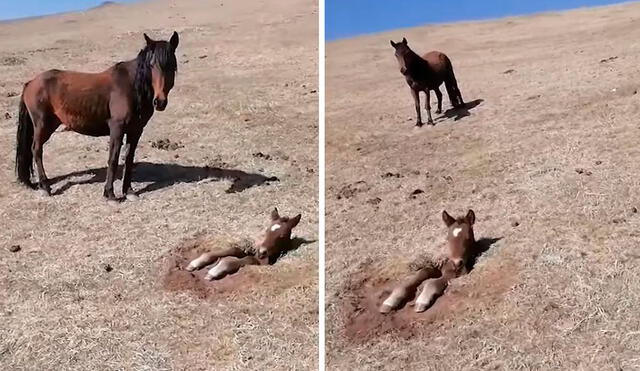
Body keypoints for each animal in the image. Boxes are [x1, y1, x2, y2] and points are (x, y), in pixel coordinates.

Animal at [15, 32, 180, 201]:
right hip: (42, 124)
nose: (160, 102)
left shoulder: (136, 130)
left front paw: (129, 191)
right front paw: (110, 194)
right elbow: (113, 159)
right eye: (151, 66)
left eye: (172, 66)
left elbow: (129, 159)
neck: (132, 88)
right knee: (36, 150)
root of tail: (31, 83)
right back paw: (45, 187)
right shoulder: (117, 128)